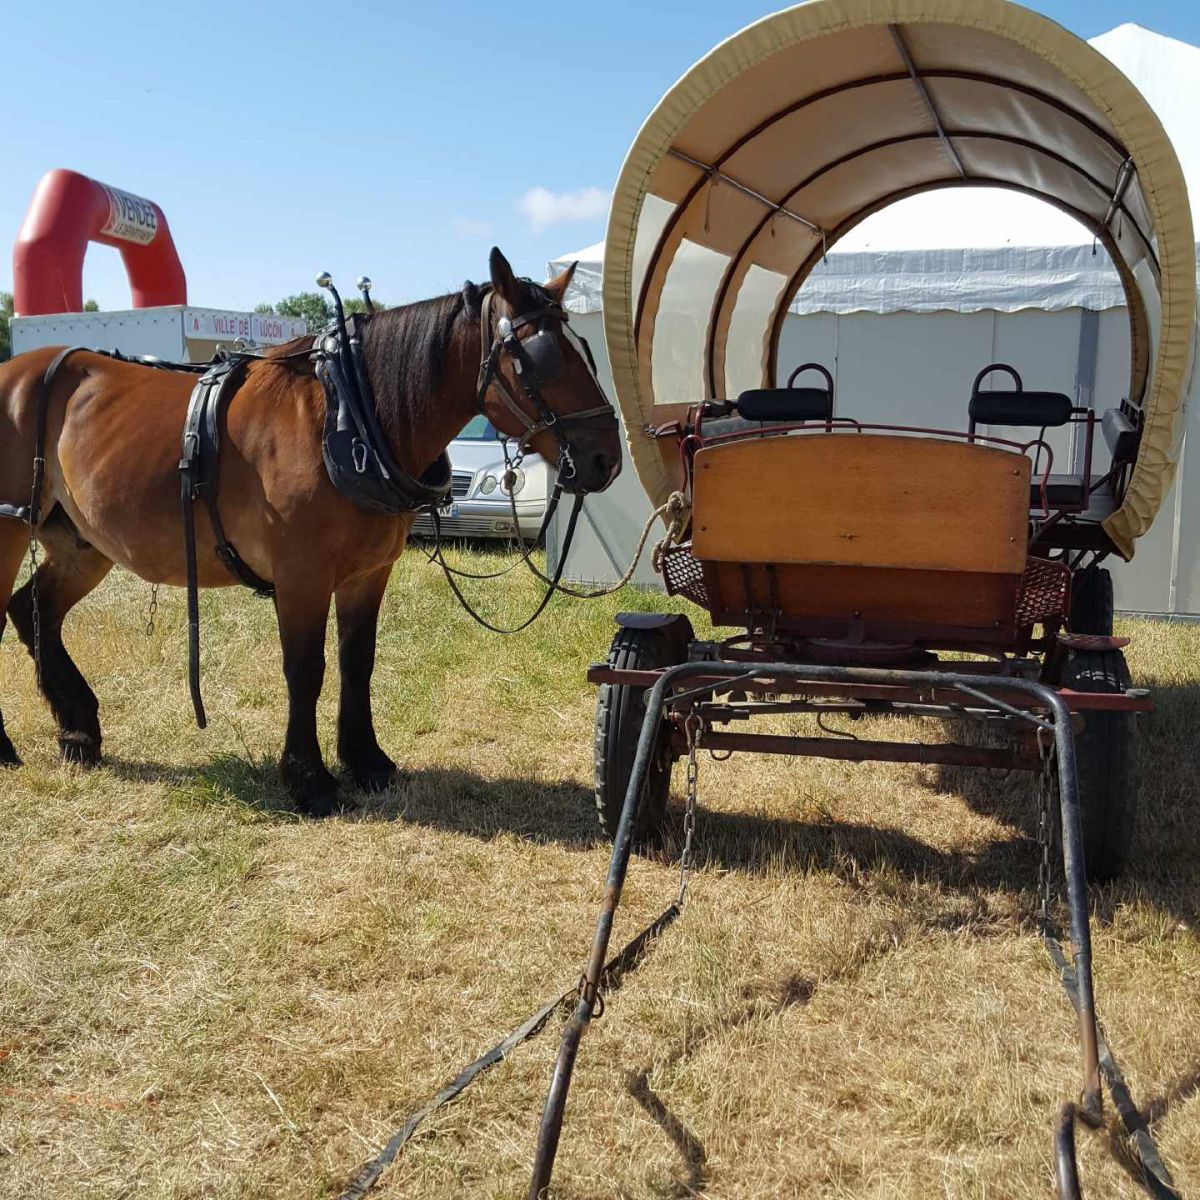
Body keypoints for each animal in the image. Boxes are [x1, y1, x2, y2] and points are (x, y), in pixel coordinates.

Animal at [0, 250, 619, 816]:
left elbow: (357, 661)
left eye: (583, 350)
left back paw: (78, 730)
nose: (605, 459)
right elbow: (306, 669)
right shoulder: (301, 577)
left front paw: (367, 761)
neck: (348, 419)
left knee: (34, 609)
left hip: (83, 544)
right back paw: (10, 747)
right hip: (10, 532)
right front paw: (308, 778)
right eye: (539, 359)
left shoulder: (368, 573)